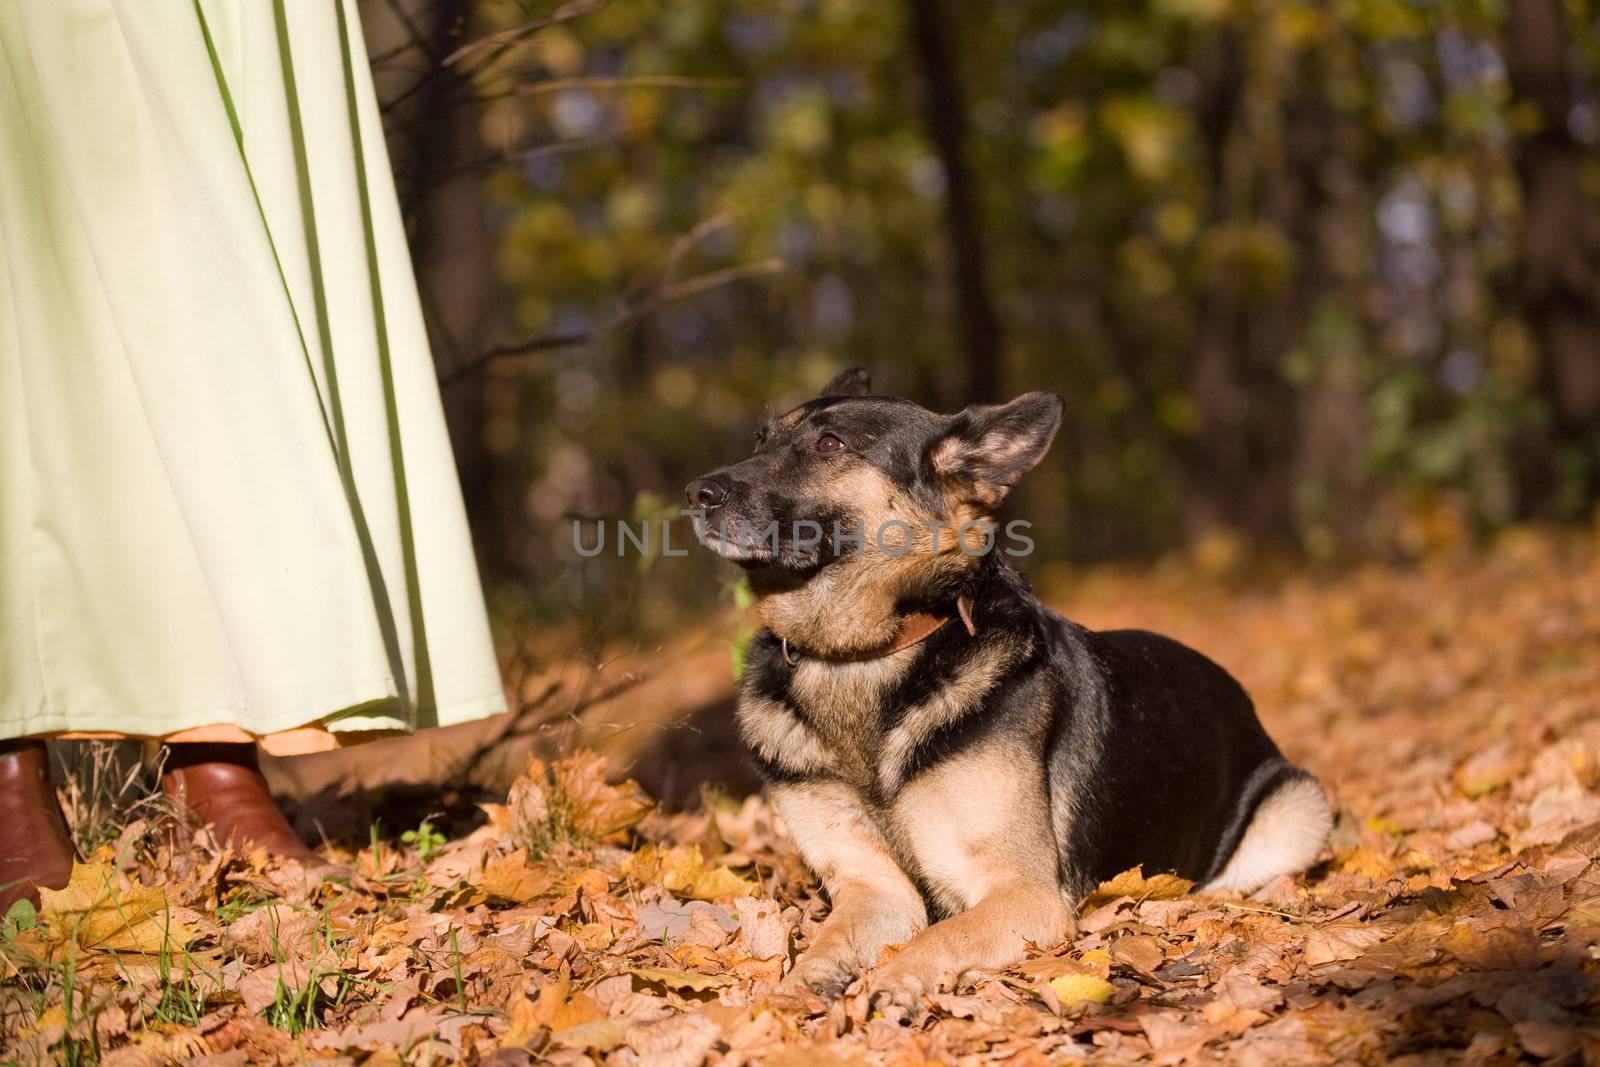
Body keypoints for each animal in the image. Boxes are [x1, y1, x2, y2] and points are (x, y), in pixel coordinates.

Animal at [681, 371, 1331, 1004]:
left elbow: (943, 935)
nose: (697, 494)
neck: (858, 656)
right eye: (761, 439)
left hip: (1297, 808)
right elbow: (828, 943)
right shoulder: (874, 887)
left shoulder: (1024, 894)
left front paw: (894, 981)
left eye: (829, 443)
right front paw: (792, 997)